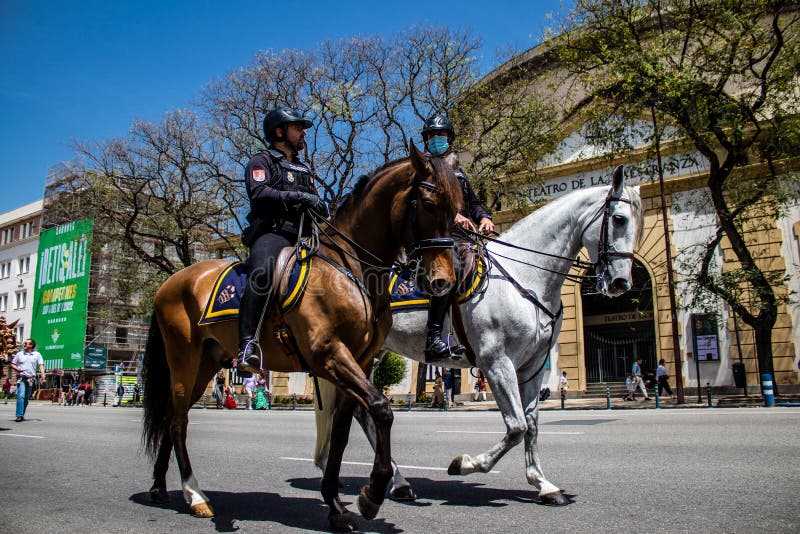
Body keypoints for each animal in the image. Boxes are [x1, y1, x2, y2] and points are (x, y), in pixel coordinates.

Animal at [141, 141, 460, 532]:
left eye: (457, 206)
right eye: (429, 204)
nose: (444, 281)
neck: (350, 268)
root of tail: (172, 280)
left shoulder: (359, 361)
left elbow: (342, 433)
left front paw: (337, 506)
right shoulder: (329, 355)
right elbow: (382, 410)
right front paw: (372, 493)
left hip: (205, 364)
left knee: (172, 418)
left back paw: (160, 487)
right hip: (183, 362)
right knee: (178, 422)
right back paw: (195, 494)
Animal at [314, 165, 644, 508]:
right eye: (619, 219)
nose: (621, 283)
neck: (524, 276)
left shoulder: (533, 367)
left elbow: (532, 425)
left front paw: (543, 484)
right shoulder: (497, 363)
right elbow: (516, 427)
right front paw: (466, 463)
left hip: (369, 355)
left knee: (360, 411)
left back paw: (397, 483)